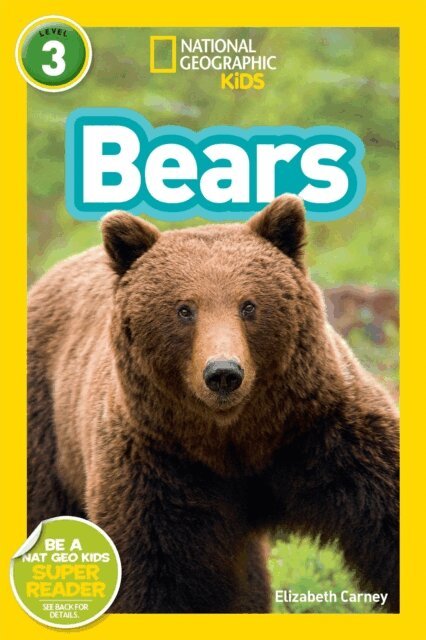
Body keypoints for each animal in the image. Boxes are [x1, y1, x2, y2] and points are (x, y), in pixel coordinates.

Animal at [27, 194, 399, 613]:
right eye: (184, 309)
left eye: (249, 305)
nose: (223, 372)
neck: (233, 440)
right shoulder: (157, 468)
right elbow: (150, 576)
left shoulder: (325, 432)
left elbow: (386, 512)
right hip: (45, 434)